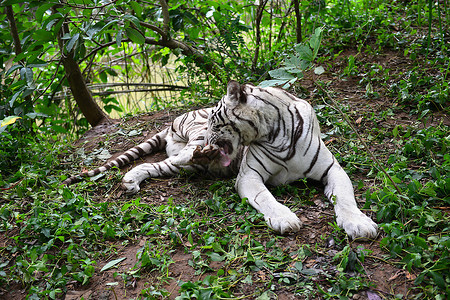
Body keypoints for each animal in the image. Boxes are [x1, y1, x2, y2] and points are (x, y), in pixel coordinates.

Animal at [65, 80, 378, 239]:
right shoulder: (249, 176)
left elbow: (345, 198)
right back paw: (135, 178)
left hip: (186, 162)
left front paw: (359, 225)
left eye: (216, 122)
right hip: (190, 141)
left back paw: (134, 180)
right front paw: (285, 219)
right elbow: (266, 198)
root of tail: (173, 121)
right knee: (169, 158)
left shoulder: (333, 169)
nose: (209, 137)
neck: (276, 131)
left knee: (159, 164)